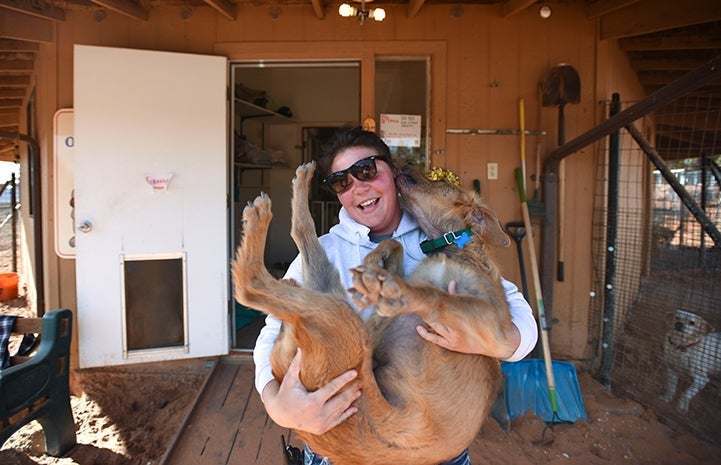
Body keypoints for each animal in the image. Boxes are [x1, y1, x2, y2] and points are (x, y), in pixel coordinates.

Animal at [235, 161, 512, 462]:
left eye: (440, 181)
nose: (406, 164)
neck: (454, 249)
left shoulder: (496, 329)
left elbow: (436, 296)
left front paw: (391, 285)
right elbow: (396, 245)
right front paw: (373, 265)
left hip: (342, 323)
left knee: (251, 283)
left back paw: (262, 217)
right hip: (340, 318)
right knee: (297, 235)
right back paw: (297, 186)